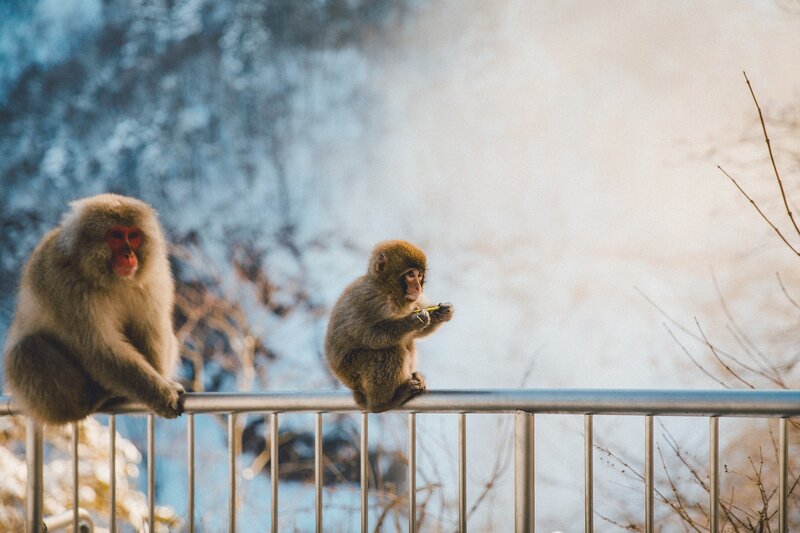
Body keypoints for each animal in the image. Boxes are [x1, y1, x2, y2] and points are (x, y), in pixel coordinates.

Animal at [3, 193, 184, 425]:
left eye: (133, 235)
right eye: (116, 235)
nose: (129, 254)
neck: (110, 279)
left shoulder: (155, 277)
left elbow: (149, 326)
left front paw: (161, 381)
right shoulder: (63, 284)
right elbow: (96, 347)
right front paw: (163, 395)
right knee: (26, 350)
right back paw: (87, 401)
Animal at [324, 240, 453, 412]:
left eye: (419, 275)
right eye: (410, 275)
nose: (418, 287)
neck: (387, 289)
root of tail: (354, 389)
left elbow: (414, 333)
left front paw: (440, 313)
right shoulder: (371, 299)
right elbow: (372, 337)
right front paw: (413, 320)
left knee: (406, 342)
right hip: (353, 372)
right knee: (389, 350)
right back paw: (383, 402)